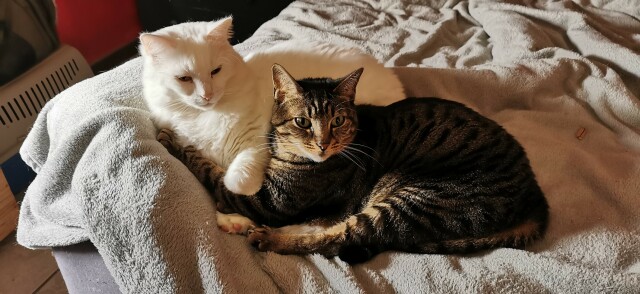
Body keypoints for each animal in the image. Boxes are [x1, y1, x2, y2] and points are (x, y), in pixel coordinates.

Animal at [141, 17, 404, 234]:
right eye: (184, 78)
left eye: (216, 71)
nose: (207, 95)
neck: (205, 116)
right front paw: (230, 218)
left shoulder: (257, 145)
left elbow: (236, 182)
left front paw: (235, 213)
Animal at [158, 63, 548, 262]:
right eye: (303, 121)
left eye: (338, 121)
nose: (323, 143)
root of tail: (535, 197)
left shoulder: (272, 201)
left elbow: (211, 172)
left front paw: (170, 137)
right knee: (329, 226)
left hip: (413, 199)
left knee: (337, 237)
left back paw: (265, 237)